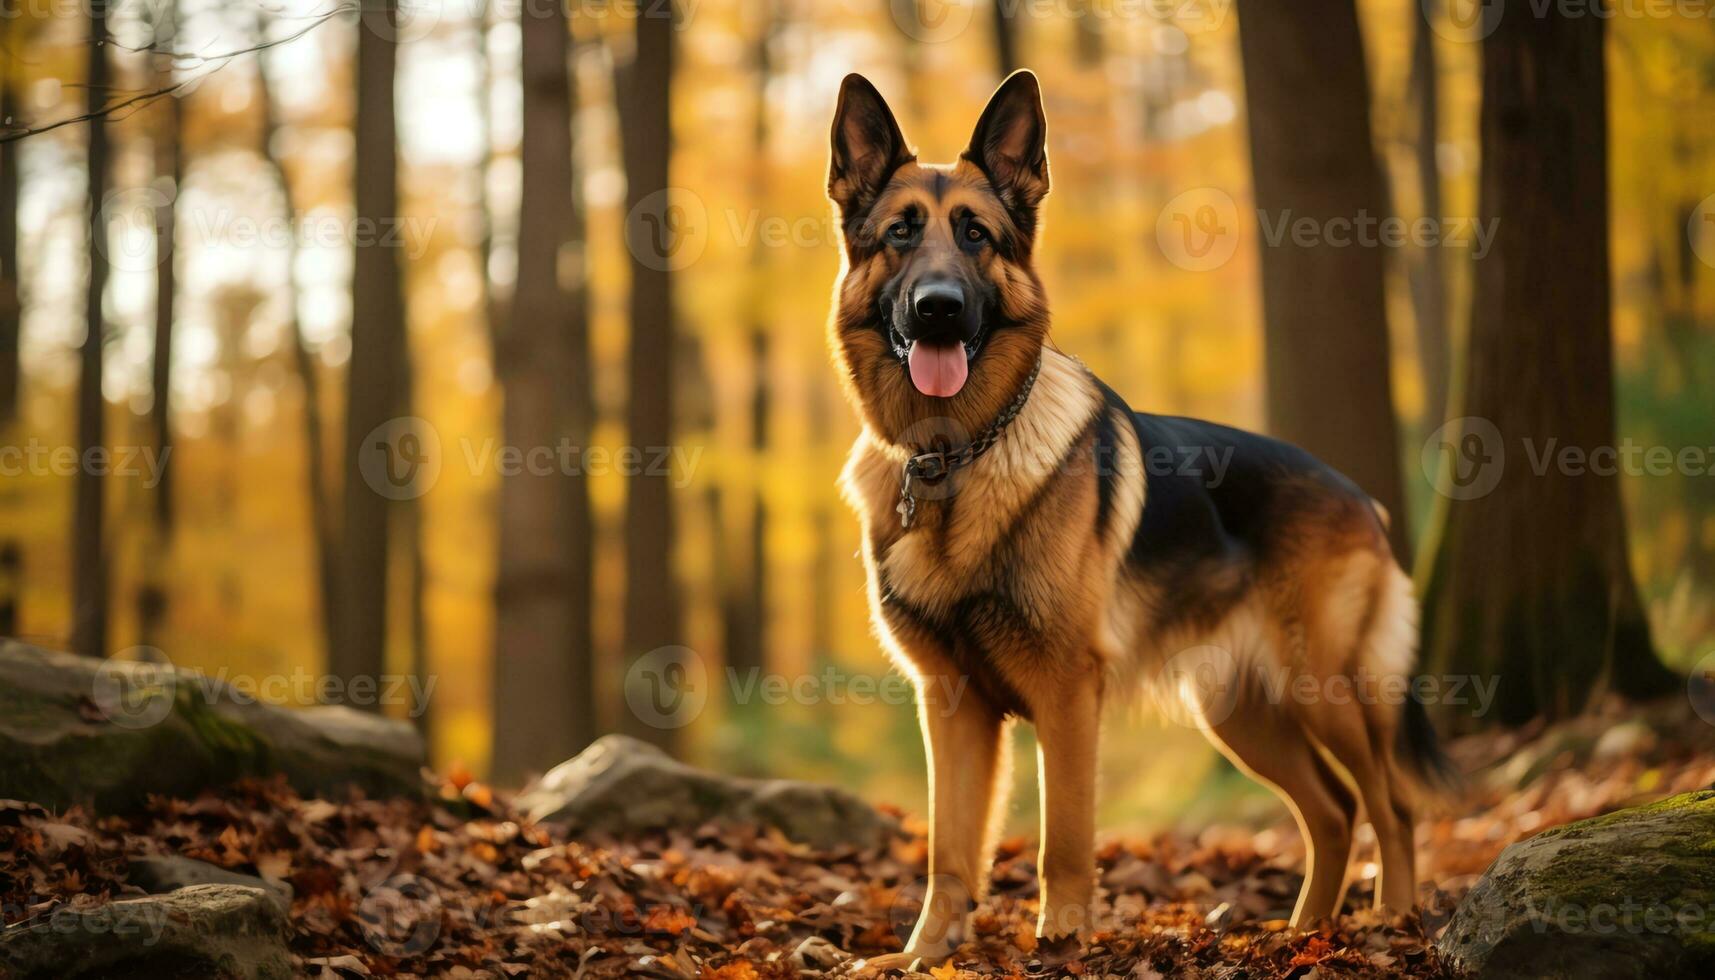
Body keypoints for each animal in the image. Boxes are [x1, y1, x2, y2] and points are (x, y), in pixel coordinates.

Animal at [826, 72, 1447, 967]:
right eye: (900, 234)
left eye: (975, 235)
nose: (938, 309)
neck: (953, 458)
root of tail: (1359, 495)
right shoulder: (948, 705)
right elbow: (950, 848)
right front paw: (923, 956)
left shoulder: (1065, 692)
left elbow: (1063, 838)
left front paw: (1062, 941)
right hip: (1241, 715)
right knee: (1332, 809)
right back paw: (1304, 931)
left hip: (1324, 687)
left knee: (1389, 801)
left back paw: (1387, 921)